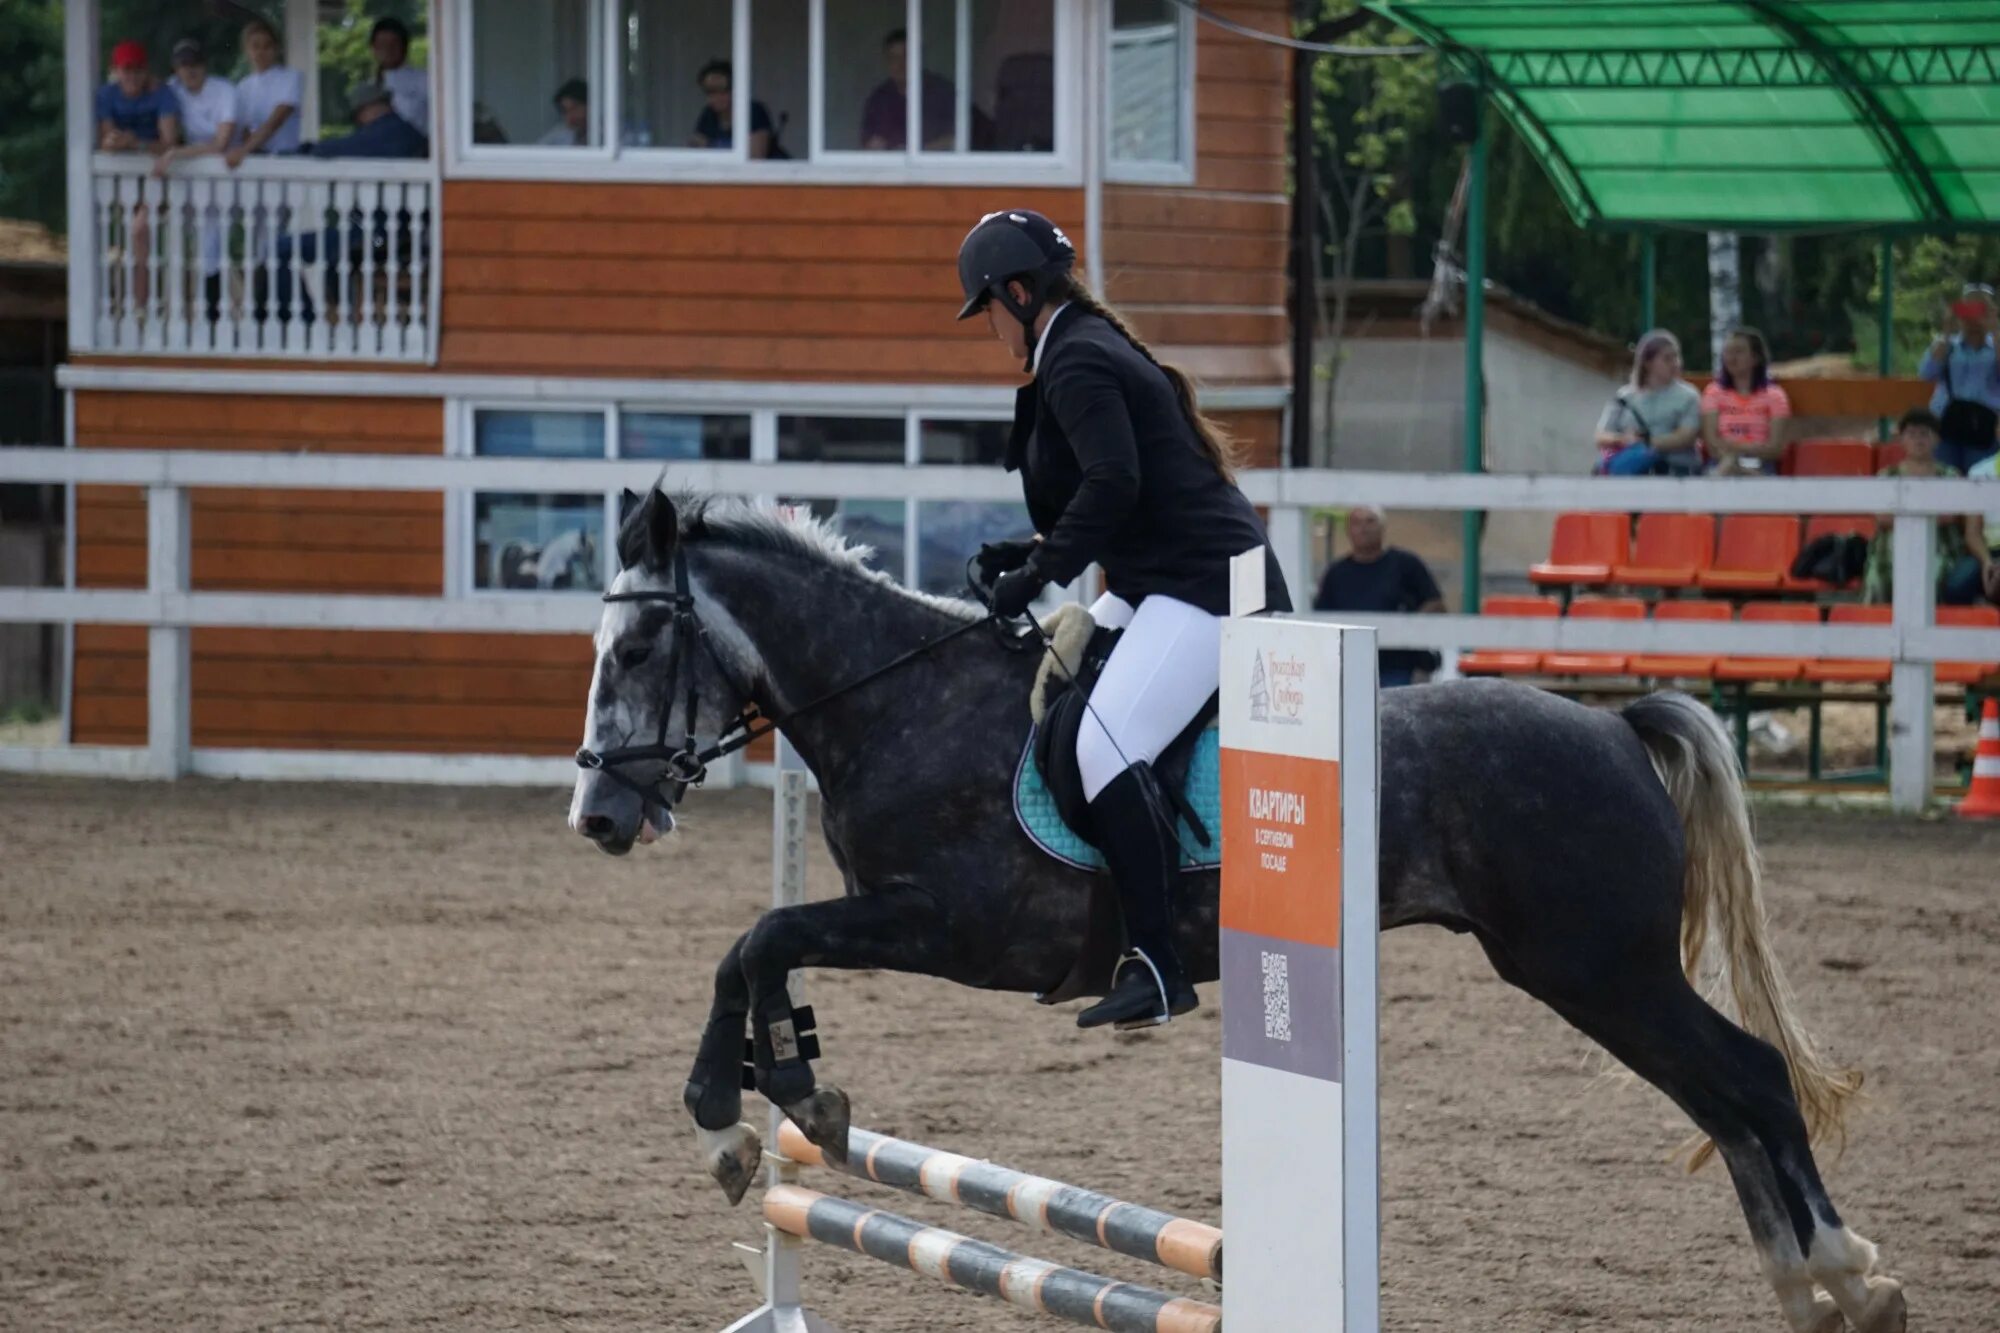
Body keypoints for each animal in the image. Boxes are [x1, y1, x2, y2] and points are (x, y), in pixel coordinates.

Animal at [568, 490, 1904, 1328]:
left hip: (1596, 966)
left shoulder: (954, 927)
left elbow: (764, 937)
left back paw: (1848, 1275)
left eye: (631, 653)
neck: (899, 700)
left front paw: (763, 1102)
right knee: (1721, 1097)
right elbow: (750, 952)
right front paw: (757, 1104)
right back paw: (1803, 1290)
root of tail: (1612, 724)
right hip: (1592, 975)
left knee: (1748, 1078)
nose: (597, 817)